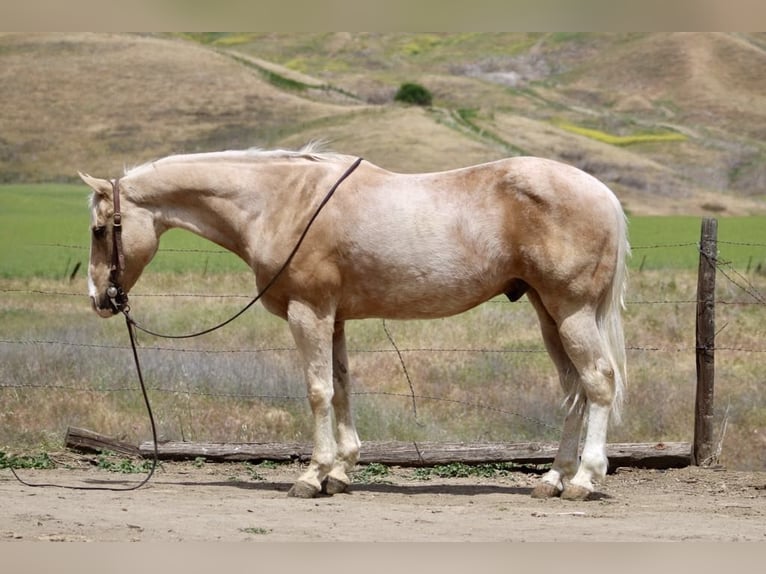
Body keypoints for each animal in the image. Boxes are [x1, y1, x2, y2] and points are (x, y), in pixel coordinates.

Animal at [81, 144, 629, 501]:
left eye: (98, 229)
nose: (100, 299)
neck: (283, 202)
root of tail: (602, 193)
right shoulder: (335, 318)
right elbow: (341, 387)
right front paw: (341, 473)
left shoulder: (309, 312)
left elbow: (318, 390)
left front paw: (311, 476)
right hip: (547, 313)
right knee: (573, 390)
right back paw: (552, 479)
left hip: (571, 311)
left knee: (598, 382)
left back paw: (584, 480)